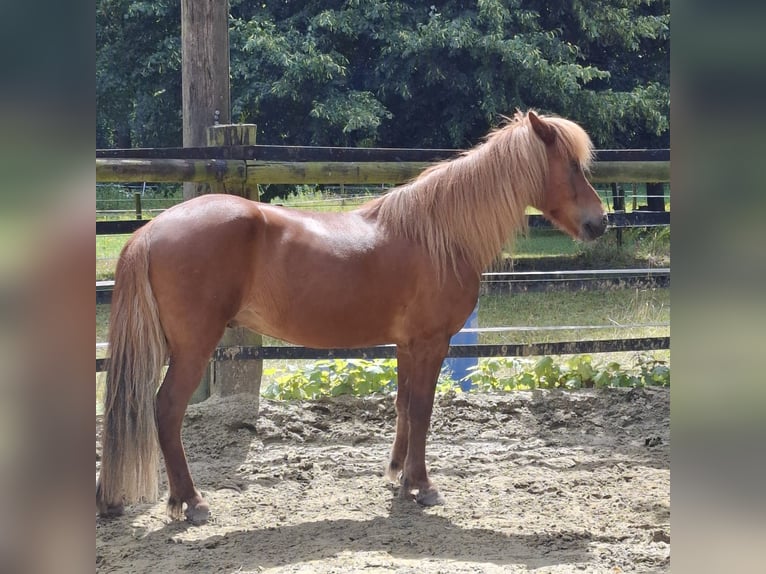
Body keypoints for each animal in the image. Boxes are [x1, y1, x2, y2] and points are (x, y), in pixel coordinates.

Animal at [97, 110, 607, 524]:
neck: (438, 235)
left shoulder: (407, 345)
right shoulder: (431, 342)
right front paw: (422, 486)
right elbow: (422, 410)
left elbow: (403, 407)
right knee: (166, 411)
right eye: (570, 165)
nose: (599, 222)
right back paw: (193, 502)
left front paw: (398, 476)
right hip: (192, 348)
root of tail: (150, 230)